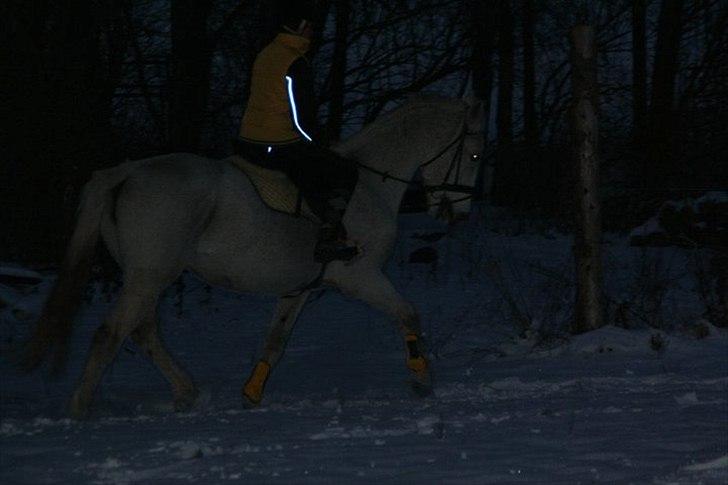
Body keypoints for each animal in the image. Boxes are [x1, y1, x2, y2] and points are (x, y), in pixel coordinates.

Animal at [22, 94, 486, 416]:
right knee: (112, 333)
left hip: (146, 276)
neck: (370, 184)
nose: (460, 213)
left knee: (143, 332)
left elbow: (275, 342)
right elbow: (408, 314)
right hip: (150, 275)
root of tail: (127, 171)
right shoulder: (361, 276)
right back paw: (81, 410)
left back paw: (186, 392)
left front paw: (250, 395)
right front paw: (422, 380)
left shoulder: (300, 289)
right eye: (475, 154)